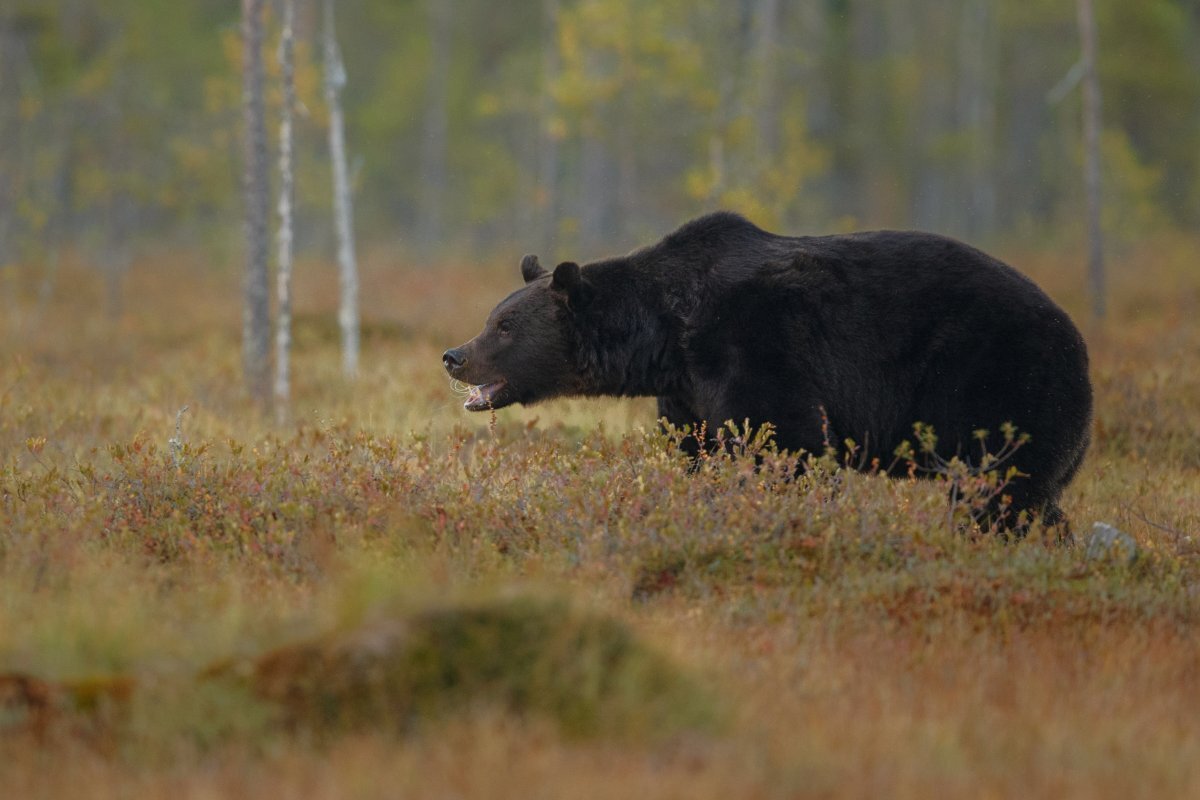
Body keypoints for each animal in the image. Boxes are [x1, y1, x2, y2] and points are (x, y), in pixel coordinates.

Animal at [446, 209, 1094, 527]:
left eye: (504, 326)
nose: (454, 355)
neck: (666, 334)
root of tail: (1078, 340)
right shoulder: (688, 390)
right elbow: (701, 448)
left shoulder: (755, 344)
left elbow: (785, 441)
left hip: (999, 382)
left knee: (1000, 487)